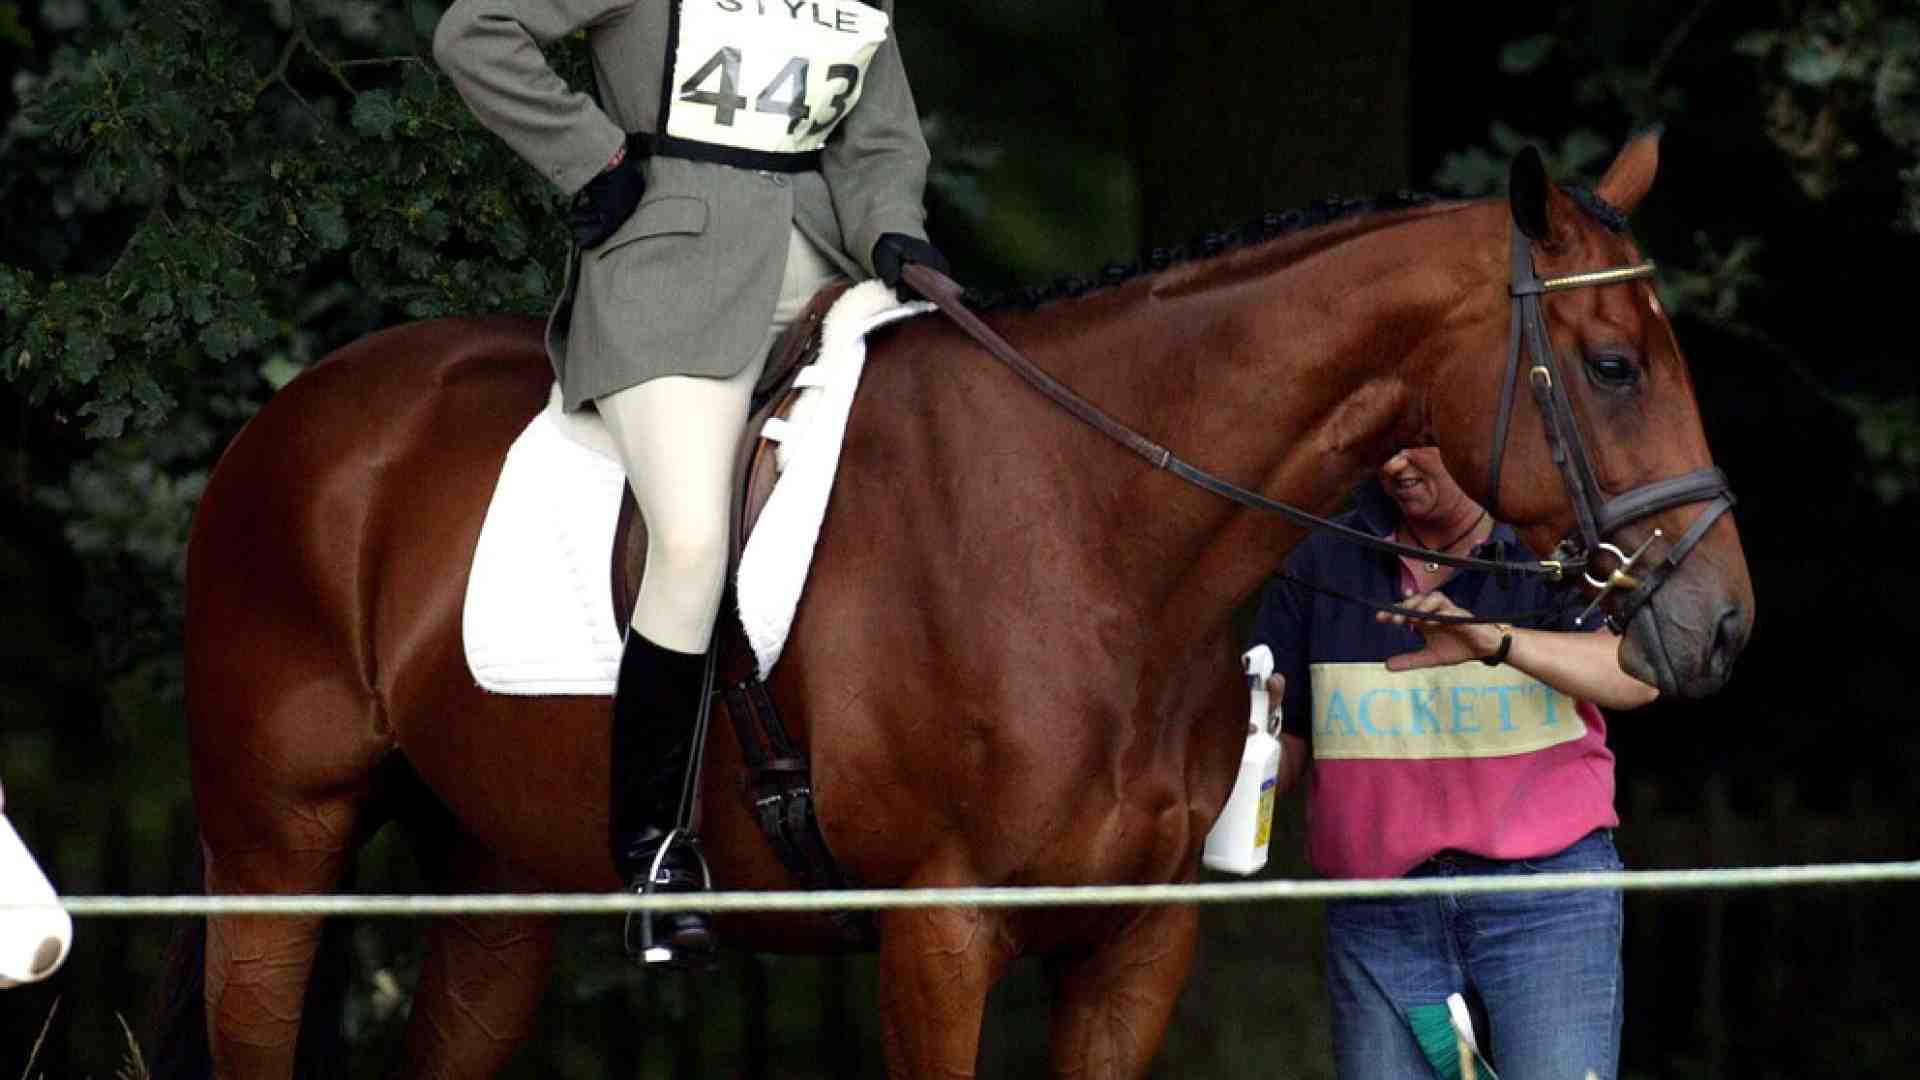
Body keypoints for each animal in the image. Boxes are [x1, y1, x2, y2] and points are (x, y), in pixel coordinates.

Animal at [155, 132, 1751, 1078]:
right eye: (1613, 365)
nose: (1721, 624)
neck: (1094, 531)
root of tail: (289, 415)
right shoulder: (940, 935)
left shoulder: (1132, 948)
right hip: (278, 846)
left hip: (493, 878)